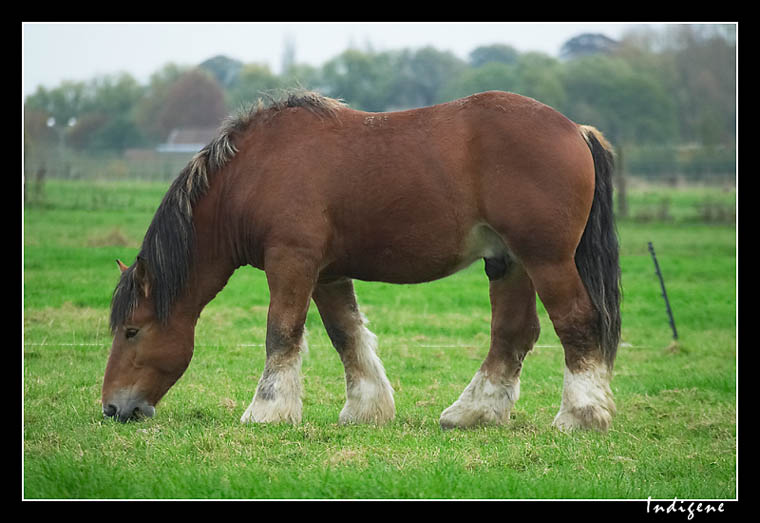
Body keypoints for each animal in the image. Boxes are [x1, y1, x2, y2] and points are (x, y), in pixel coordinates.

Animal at [102, 90, 616, 432]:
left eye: (132, 331)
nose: (111, 408)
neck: (253, 174)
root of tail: (576, 130)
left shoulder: (291, 261)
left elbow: (281, 333)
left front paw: (268, 410)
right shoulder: (327, 273)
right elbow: (345, 335)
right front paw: (366, 408)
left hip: (546, 259)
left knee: (576, 322)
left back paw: (582, 415)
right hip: (508, 262)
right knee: (513, 334)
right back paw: (473, 413)